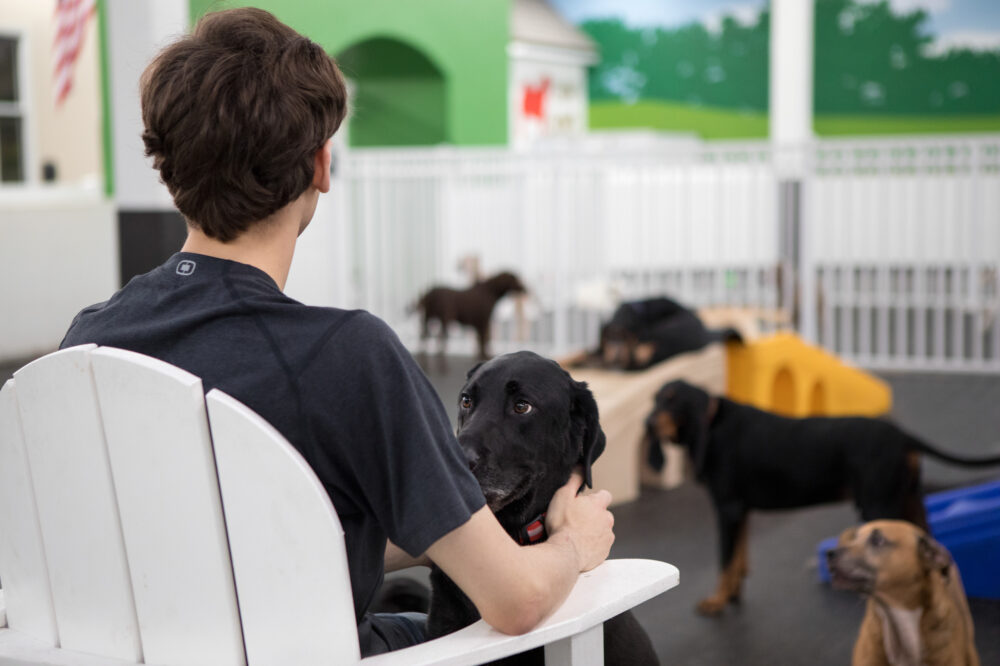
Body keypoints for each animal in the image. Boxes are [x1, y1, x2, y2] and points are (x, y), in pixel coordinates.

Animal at [644, 376, 1000, 616]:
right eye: (655, 398)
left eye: (672, 401)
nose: (646, 424)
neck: (712, 426)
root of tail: (903, 437)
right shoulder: (740, 511)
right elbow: (739, 557)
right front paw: (731, 594)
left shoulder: (727, 509)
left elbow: (725, 559)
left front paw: (717, 601)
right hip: (910, 503)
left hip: (879, 504)